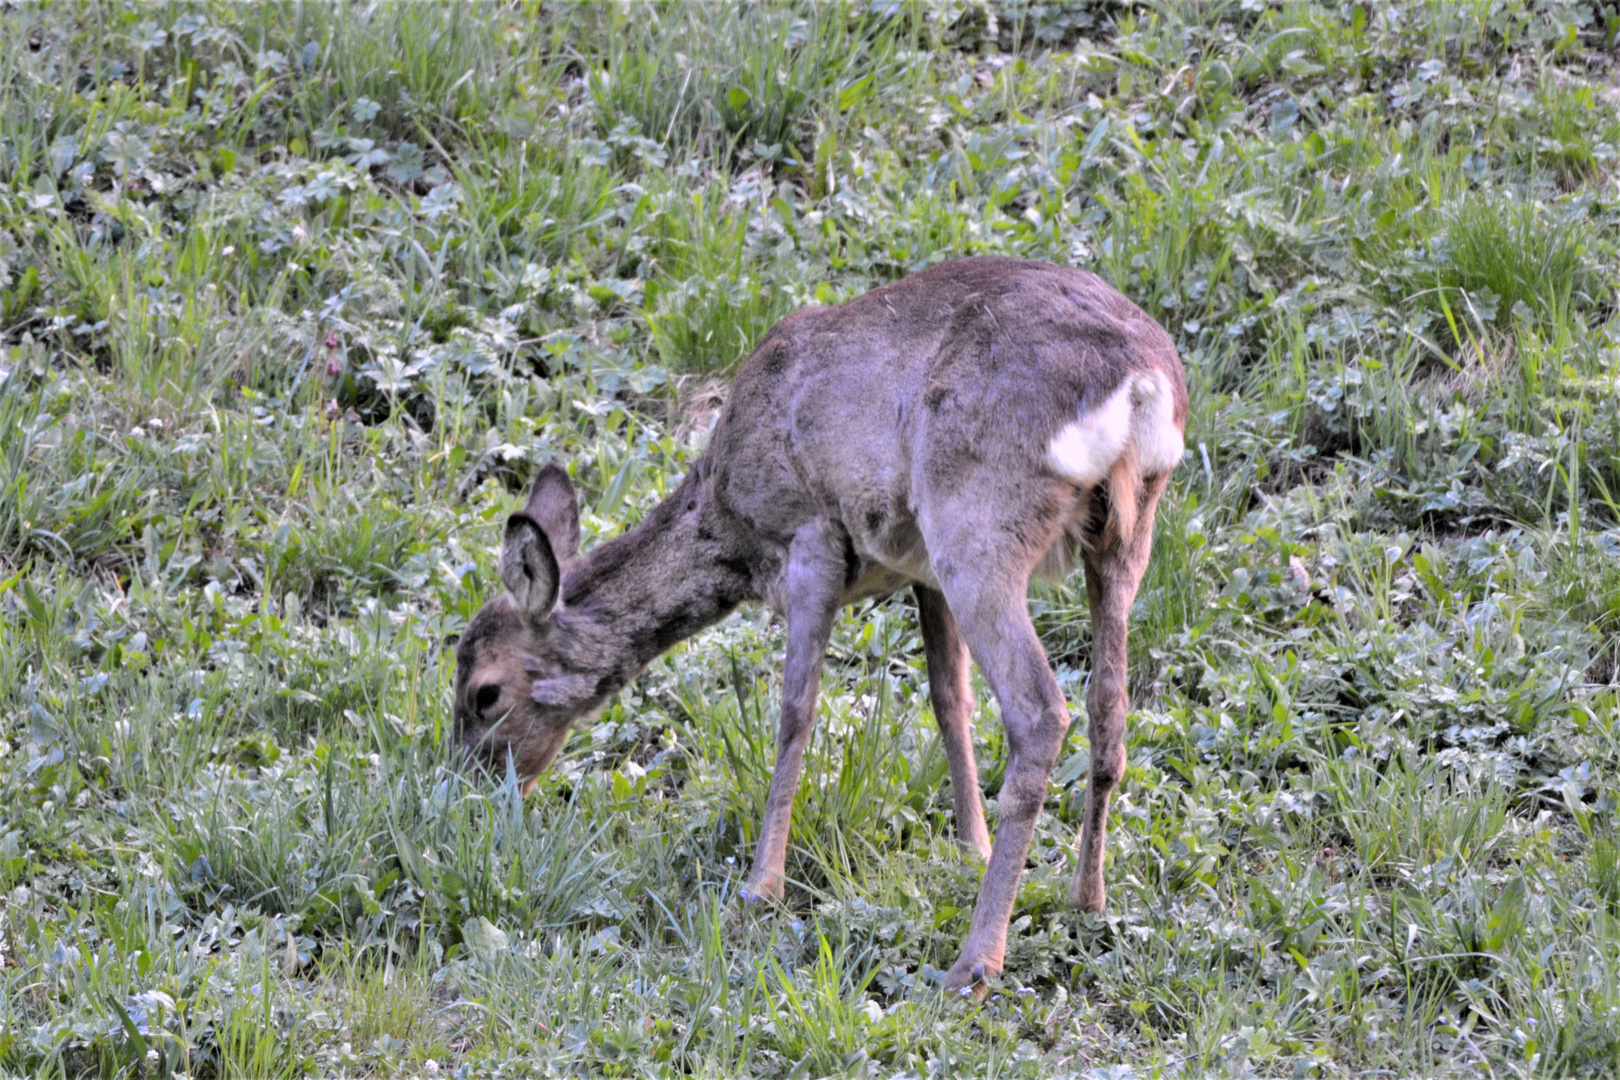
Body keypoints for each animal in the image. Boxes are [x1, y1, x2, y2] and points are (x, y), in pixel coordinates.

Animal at [450, 255, 1185, 997]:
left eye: (485, 692)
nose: (467, 795)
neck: (728, 522)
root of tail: (1140, 383)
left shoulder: (809, 536)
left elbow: (795, 711)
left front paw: (760, 886)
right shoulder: (918, 568)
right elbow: (949, 700)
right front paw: (969, 846)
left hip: (977, 524)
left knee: (1040, 709)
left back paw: (976, 962)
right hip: (1120, 536)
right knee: (1108, 707)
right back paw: (1085, 899)